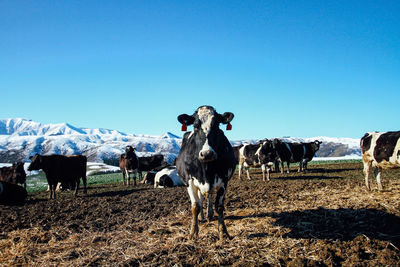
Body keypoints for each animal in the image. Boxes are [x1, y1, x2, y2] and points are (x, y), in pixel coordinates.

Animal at [177, 105, 236, 241]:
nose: (207, 154)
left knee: (208, 196)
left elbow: (219, 206)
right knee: (201, 198)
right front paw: (193, 233)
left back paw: (209, 215)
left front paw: (223, 232)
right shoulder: (190, 181)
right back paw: (202, 217)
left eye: (217, 125)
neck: (206, 169)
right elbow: (195, 206)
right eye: (195, 126)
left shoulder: (224, 180)